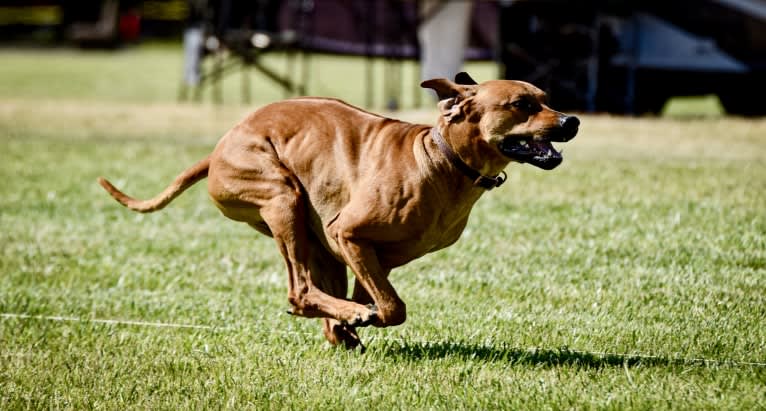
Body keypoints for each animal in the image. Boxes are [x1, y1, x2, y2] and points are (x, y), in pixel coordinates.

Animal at [99, 72, 580, 350]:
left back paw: (340, 326)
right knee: (298, 291)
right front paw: (359, 319)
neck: (441, 159)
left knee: (315, 286)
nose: (571, 120)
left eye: (545, 98)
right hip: (283, 198)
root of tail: (217, 149)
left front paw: (348, 324)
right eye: (521, 104)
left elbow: (375, 294)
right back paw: (339, 318)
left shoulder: (372, 253)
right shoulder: (346, 232)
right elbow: (392, 307)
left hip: (313, 237)